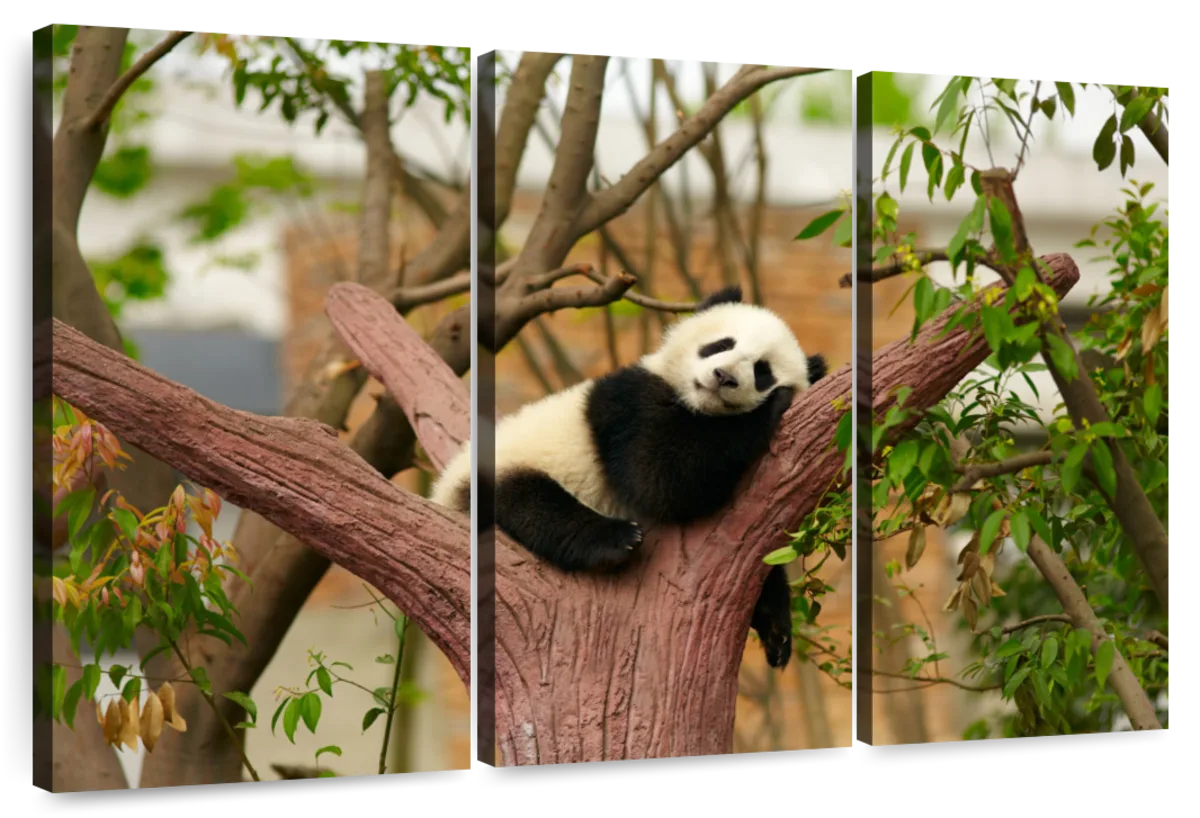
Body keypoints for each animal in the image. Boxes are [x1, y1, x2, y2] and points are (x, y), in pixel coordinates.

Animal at [427, 283, 830, 666]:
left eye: (762, 371)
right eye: (721, 344)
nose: (724, 376)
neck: (697, 405)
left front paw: (776, 629)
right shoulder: (629, 404)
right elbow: (660, 478)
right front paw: (773, 406)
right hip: (499, 469)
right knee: (531, 502)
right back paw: (615, 539)